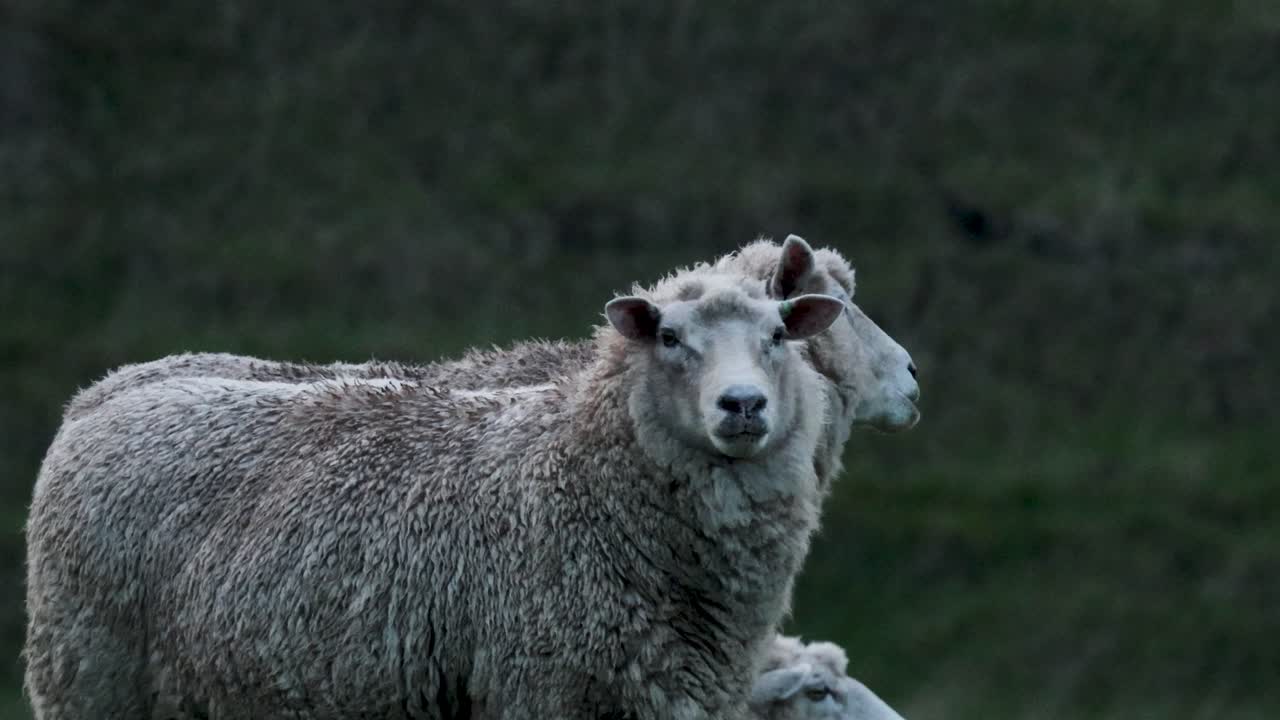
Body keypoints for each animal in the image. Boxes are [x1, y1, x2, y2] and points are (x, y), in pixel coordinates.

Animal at [25, 269, 847, 719]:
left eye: (779, 334)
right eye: (670, 338)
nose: (742, 405)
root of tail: (99, 396)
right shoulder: (544, 688)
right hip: (89, 674)